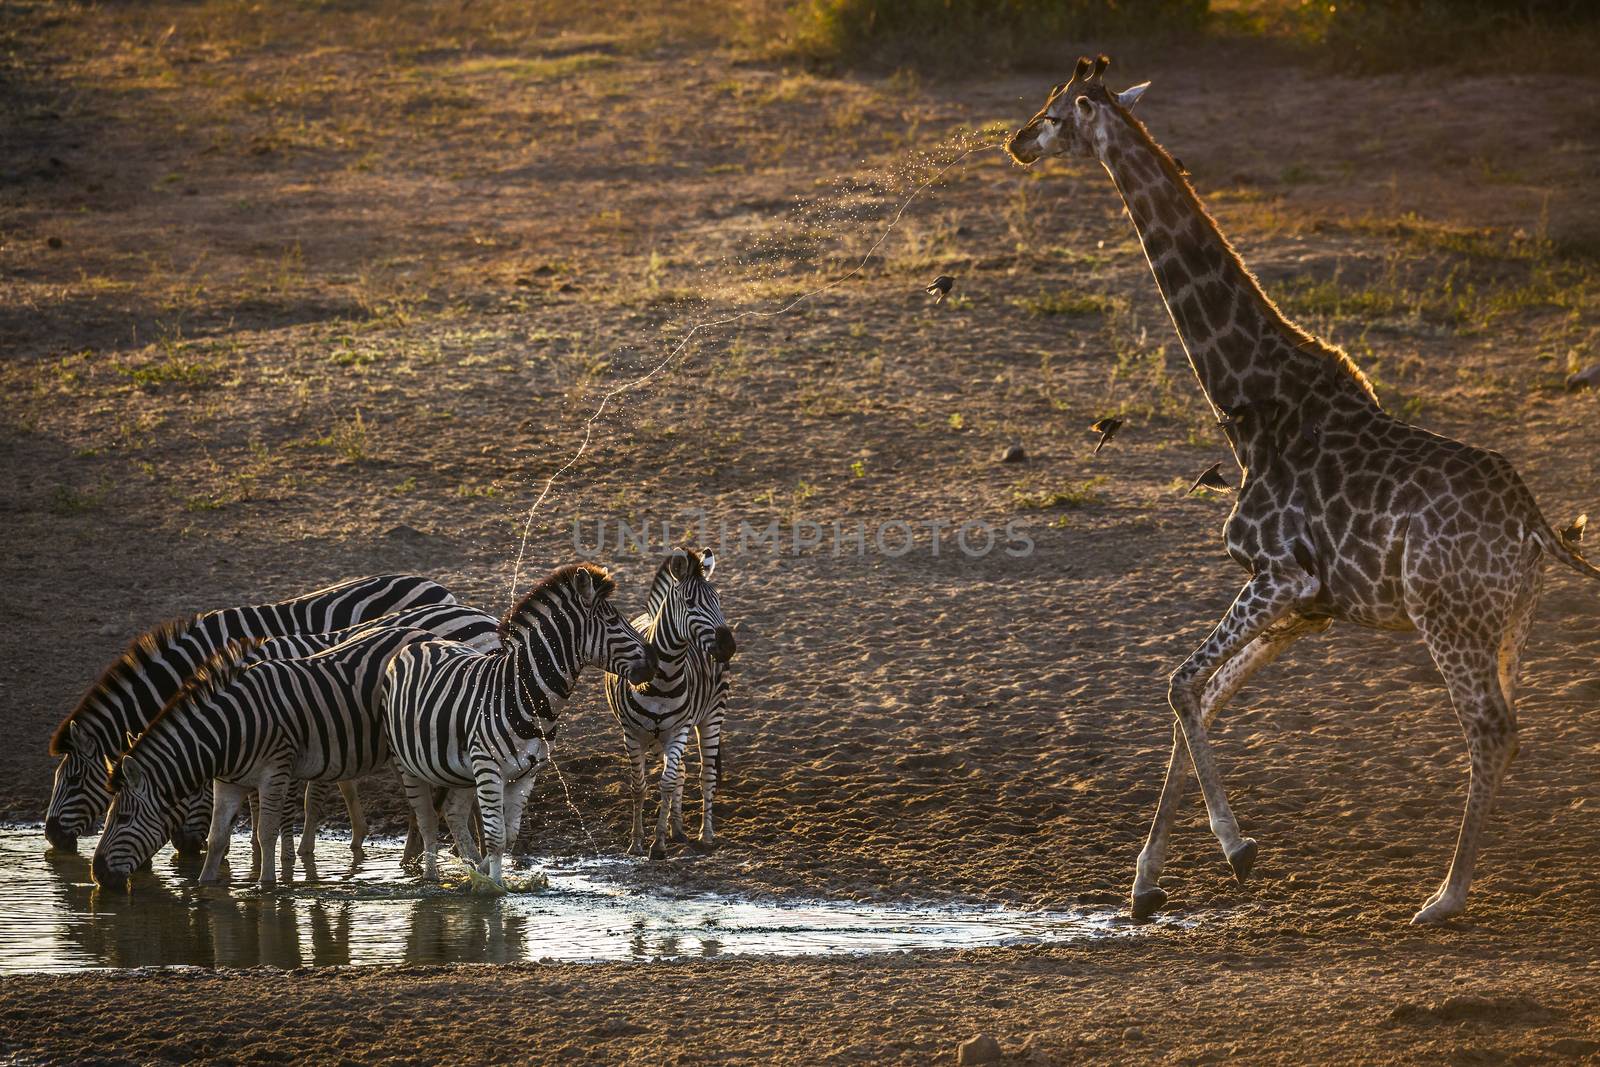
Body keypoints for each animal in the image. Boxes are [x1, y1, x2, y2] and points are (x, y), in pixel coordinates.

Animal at [93, 627, 444, 895]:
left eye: (122, 818)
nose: (97, 875)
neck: (228, 731)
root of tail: (426, 633)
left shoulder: (274, 771)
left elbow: (265, 832)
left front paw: (266, 886)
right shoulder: (228, 783)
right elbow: (217, 838)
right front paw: (205, 886)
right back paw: (409, 863)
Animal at [380, 563, 656, 883]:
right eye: (613, 621)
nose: (655, 663)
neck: (525, 695)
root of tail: (421, 643)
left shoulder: (526, 773)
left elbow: (509, 836)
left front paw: (483, 875)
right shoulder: (488, 767)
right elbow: (496, 838)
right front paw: (493, 890)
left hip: (458, 770)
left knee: (453, 813)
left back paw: (467, 866)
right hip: (408, 763)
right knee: (427, 819)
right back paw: (430, 876)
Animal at [604, 550, 736, 857]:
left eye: (718, 599)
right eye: (689, 603)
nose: (728, 647)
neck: (663, 679)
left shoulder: (679, 730)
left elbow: (666, 783)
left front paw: (658, 844)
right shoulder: (632, 733)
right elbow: (639, 787)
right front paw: (637, 842)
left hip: (711, 716)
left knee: (706, 775)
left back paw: (705, 835)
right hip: (658, 738)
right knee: (683, 773)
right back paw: (678, 829)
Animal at [1004, 56, 1593, 927]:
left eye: (1055, 113)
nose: (1014, 141)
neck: (1249, 402)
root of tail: (1535, 527)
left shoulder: (1279, 575)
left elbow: (1179, 683)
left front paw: (1237, 851)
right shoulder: (1305, 606)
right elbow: (1201, 697)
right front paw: (1145, 883)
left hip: (1446, 617)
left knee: (1489, 731)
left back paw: (1443, 897)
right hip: (1506, 623)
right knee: (1513, 732)